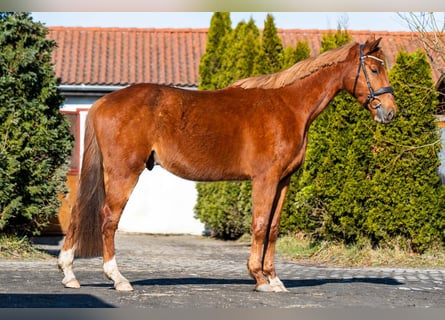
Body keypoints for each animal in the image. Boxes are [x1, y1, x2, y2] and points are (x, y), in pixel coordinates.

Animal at [58, 37, 396, 292]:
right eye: (374, 68)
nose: (390, 112)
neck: (288, 107)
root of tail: (103, 102)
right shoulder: (265, 179)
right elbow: (259, 225)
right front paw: (259, 278)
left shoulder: (284, 180)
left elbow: (273, 227)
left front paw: (274, 279)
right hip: (124, 173)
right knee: (108, 219)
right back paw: (117, 278)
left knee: (78, 213)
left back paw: (69, 274)